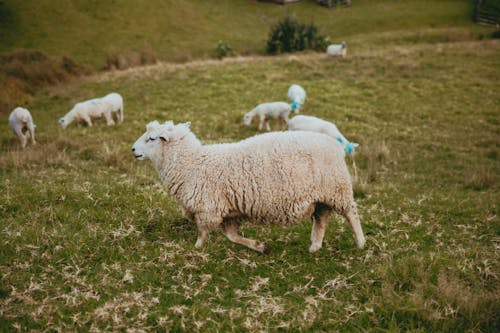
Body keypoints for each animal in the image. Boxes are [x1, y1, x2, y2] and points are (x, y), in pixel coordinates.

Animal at [131, 119, 366, 252]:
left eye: (152, 138)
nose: (133, 149)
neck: (192, 163)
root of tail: (336, 146)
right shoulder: (229, 211)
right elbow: (232, 236)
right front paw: (259, 247)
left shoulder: (208, 209)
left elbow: (203, 232)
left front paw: (196, 248)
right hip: (321, 197)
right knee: (321, 220)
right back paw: (314, 247)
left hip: (338, 189)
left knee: (351, 213)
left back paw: (361, 243)